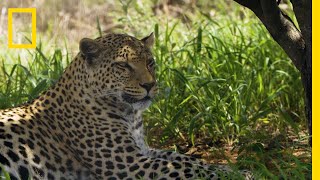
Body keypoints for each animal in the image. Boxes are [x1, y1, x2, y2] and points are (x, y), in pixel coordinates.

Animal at [1, 33, 254, 179]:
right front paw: (241, 174)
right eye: (123, 66)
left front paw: (232, 169)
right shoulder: (129, 163)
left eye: (150, 62)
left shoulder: (144, 150)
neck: (130, 114)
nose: (149, 85)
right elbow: (185, 168)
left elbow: (185, 159)